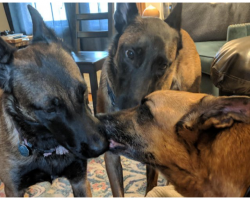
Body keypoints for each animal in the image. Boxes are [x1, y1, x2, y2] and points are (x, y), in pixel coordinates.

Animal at [0, 5, 107, 197]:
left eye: (83, 91)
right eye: (49, 109)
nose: (102, 147)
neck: (47, 147)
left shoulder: (80, 181)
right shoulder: (13, 189)